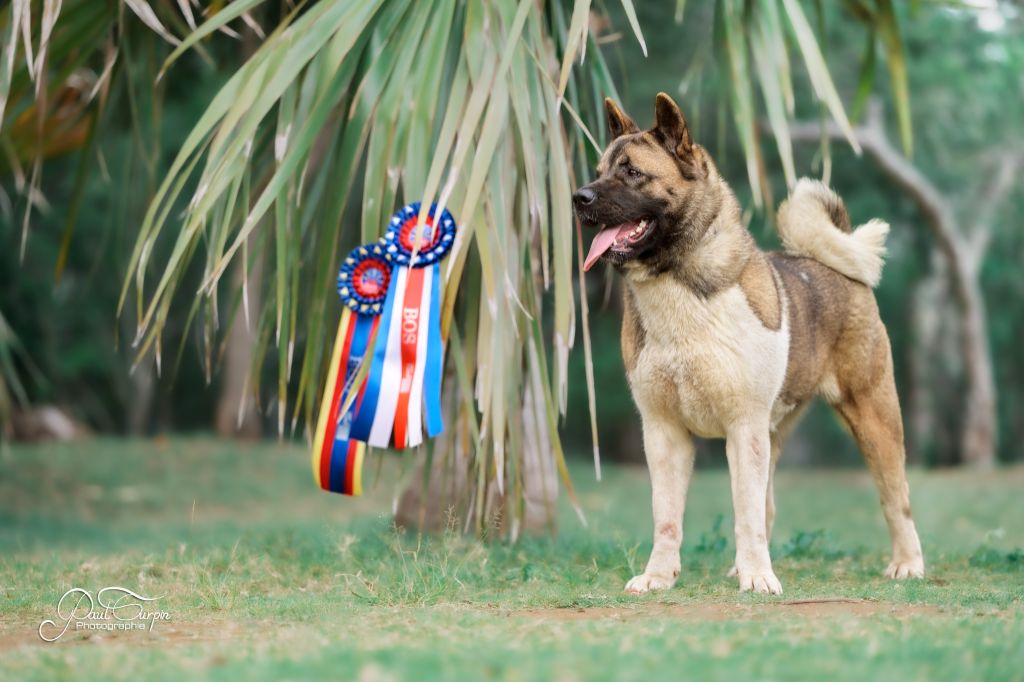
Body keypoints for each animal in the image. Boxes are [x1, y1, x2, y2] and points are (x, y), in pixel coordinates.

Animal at [577, 93, 929, 593]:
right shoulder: (664, 432)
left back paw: (907, 564)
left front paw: (759, 579)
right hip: (774, 432)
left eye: (632, 172)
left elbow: (745, 512)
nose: (578, 197)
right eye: (599, 170)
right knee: (768, 505)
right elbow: (668, 516)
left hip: (872, 417)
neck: (678, 286)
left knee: (896, 497)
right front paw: (659, 576)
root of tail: (833, 265)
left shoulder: (743, 428)